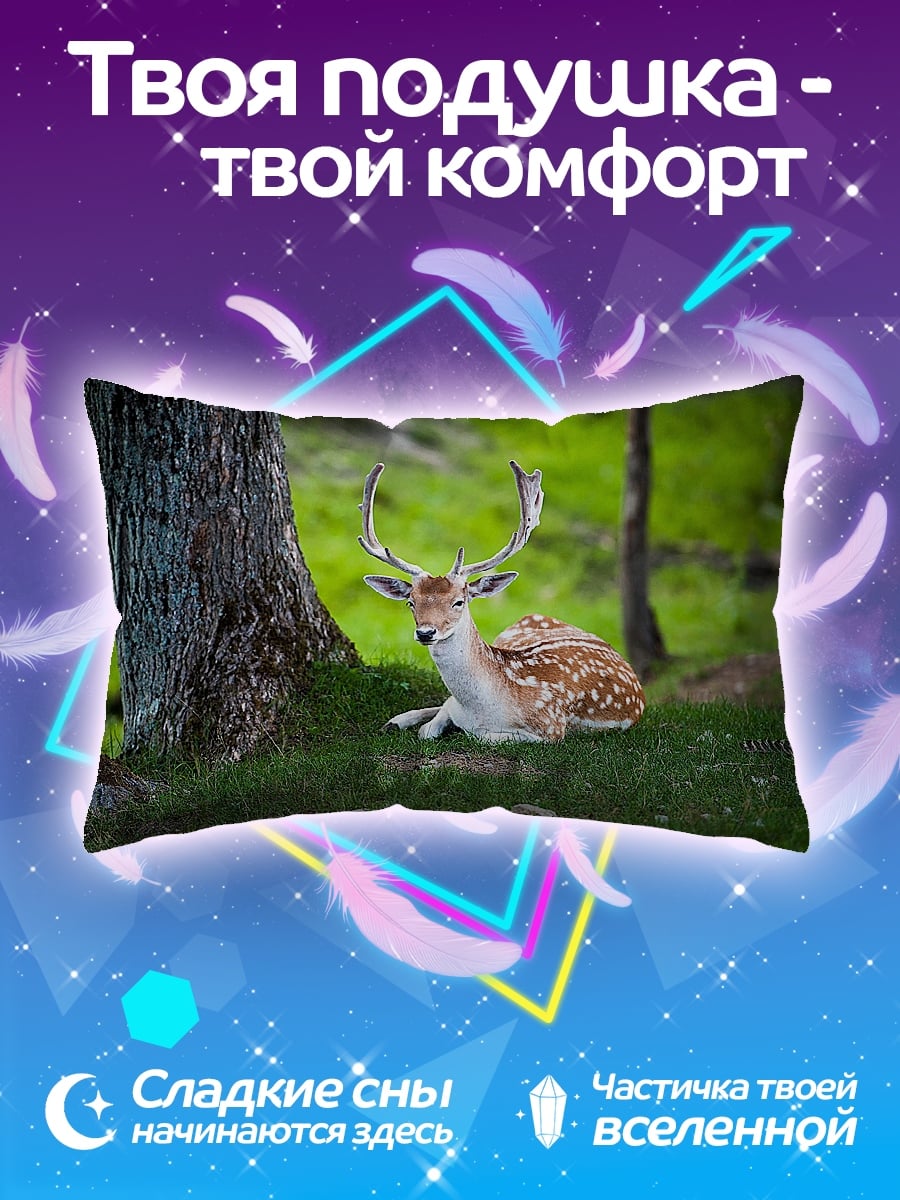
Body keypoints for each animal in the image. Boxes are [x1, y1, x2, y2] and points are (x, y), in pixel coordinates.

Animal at [358, 459, 645, 743]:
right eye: (411, 602)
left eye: (459, 602)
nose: (426, 632)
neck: (481, 708)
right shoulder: (455, 707)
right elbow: (429, 728)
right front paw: (405, 722)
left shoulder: (550, 728)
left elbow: (479, 736)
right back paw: (395, 721)